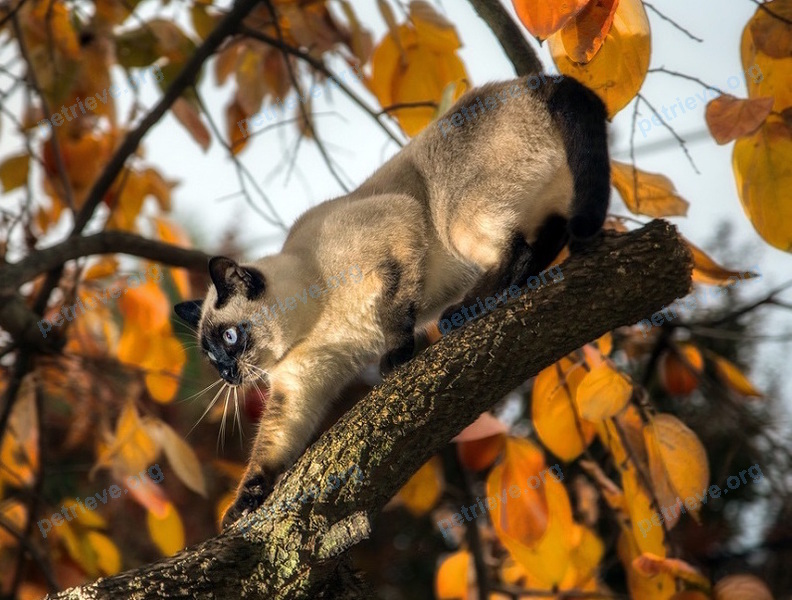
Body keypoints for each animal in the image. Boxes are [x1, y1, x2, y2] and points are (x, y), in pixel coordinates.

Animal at [173, 74, 608, 524]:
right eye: (212, 357)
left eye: (229, 338)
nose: (228, 374)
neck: (312, 322)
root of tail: (539, 80)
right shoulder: (297, 389)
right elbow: (270, 448)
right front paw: (242, 504)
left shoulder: (396, 238)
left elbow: (395, 316)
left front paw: (396, 358)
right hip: (535, 210)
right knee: (547, 240)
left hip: (455, 219)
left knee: (517, 249)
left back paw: (463, 311)